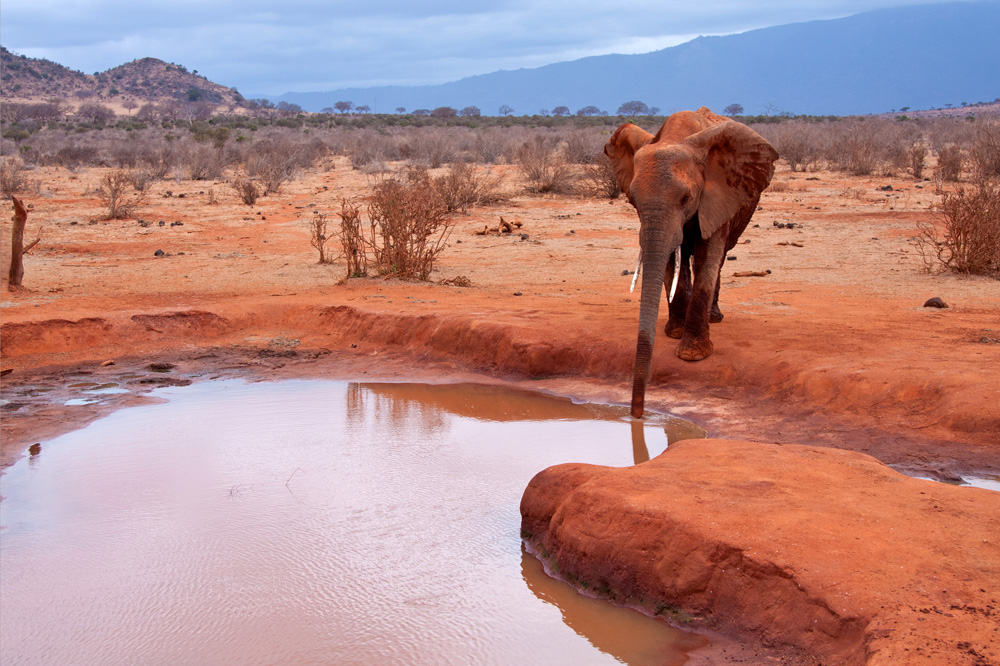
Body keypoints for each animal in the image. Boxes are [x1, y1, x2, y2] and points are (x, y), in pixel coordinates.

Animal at [604, 107, 776, 416]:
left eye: (686, 198)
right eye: (633, 199)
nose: (637, 414)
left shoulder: (719, 194)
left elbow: (709, 255)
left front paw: (693, 355)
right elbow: (669, 258)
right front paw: (674, 333)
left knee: (718, 258)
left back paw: (714, 317)